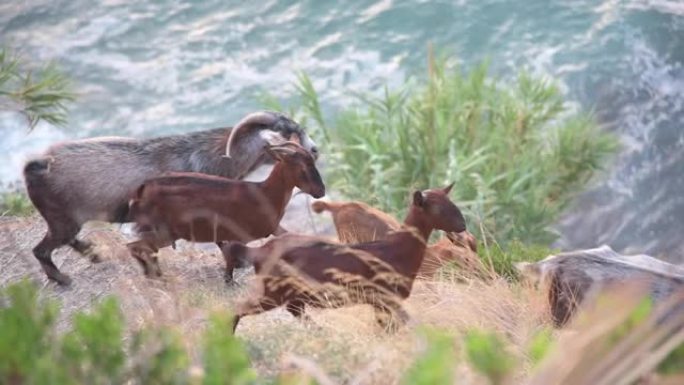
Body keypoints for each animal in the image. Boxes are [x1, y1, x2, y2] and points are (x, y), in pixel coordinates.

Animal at [126, 142, 326, 280]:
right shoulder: (238, 235)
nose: (320, 191)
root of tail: (143, 188)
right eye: (302, 168)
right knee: (136, 247)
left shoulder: (273, 229)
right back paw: (155, 276)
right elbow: (229, 263)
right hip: (163, 232)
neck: (264, 194)